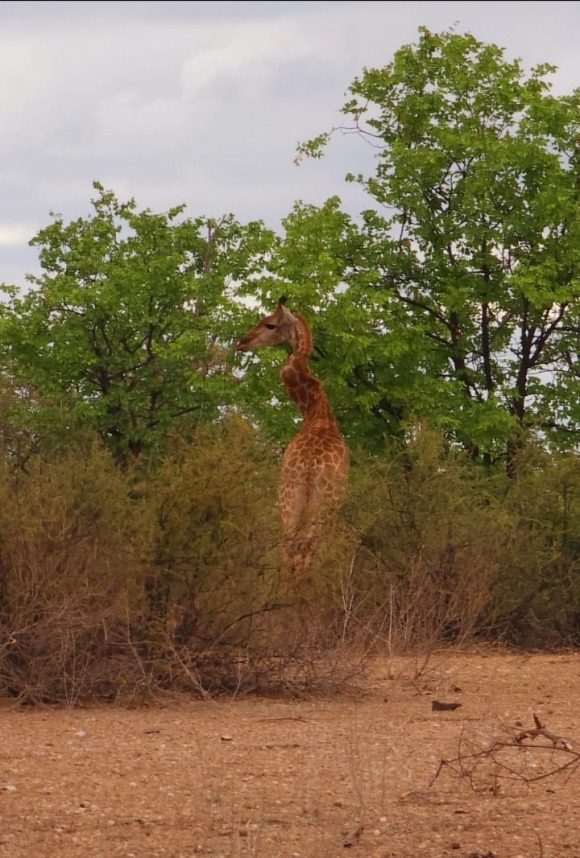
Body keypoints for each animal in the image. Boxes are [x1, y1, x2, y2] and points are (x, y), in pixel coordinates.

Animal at [237, 298, 348, 572]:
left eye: (270, 324)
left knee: (288, 552)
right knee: (304, 553)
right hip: (322, 507)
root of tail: (309, 466)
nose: (241, 342)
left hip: (287, 501)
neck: (315, 411)